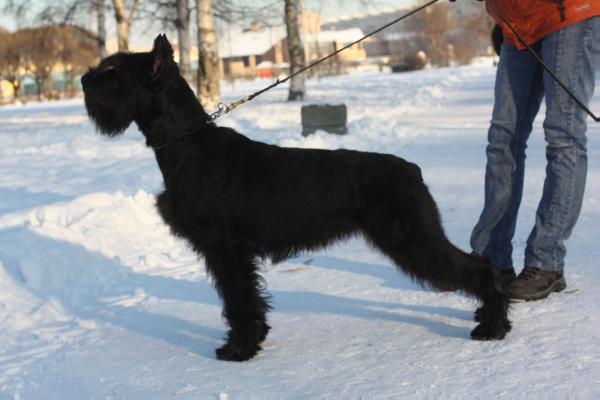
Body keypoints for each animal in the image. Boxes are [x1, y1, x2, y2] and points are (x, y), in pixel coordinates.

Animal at [81, 34, 510, 360]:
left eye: (114, 72)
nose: (85, 80)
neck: (189, 145)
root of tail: (412, 170)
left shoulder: (227, 250)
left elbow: (239, 300)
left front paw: (239, 349)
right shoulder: (228, 252)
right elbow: (242, 300)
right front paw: (250, 341)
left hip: (414, 238)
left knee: (480, 268)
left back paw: (492, 326)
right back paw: (490, 319)